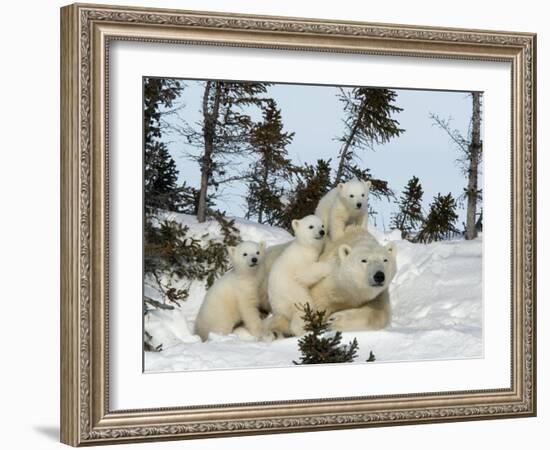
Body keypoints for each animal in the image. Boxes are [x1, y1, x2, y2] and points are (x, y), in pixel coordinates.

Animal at [258, 227, 396, 336]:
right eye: (364, 260)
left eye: (385, 260)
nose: (379, 276)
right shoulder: (325, 285)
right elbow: (310, 307)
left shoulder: (377, 294)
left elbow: (380, 314)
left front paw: (334, 320)